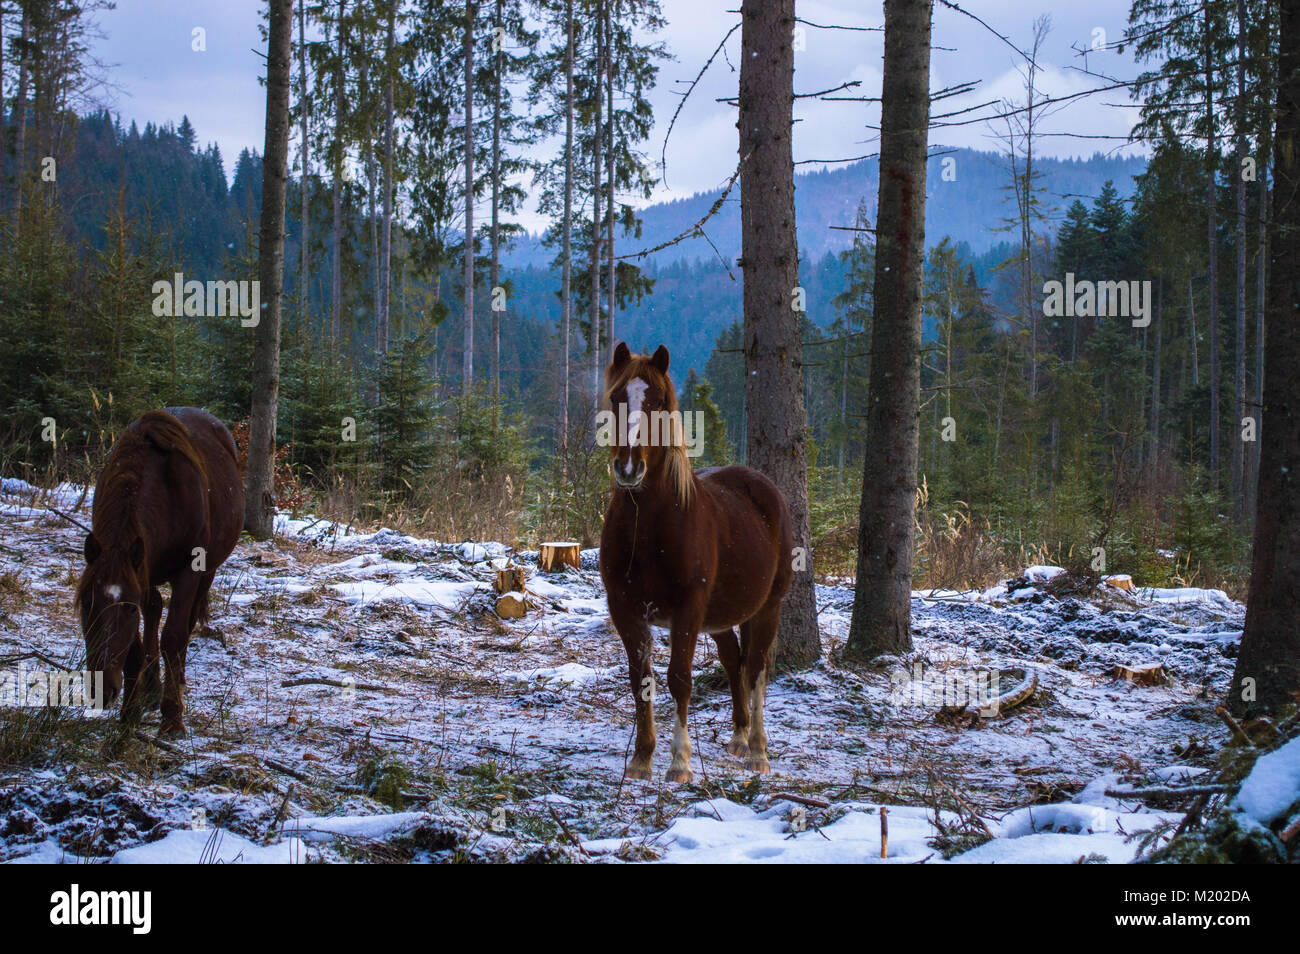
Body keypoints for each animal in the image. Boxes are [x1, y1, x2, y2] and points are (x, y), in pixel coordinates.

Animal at [76, 408, 245, 738]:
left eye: (128, 608)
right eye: (87, 604)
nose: (101, 690)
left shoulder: (188, 571)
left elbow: (174, 636)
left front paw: (172, 718)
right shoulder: (138, 570)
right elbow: (137, 645)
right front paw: (130, 713)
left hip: (206, 571)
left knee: (185, 622)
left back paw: (175, 682)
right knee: (154, 609)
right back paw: (152, 686)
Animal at [598, 343, 790, 785]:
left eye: (657, 402)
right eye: (617, 399)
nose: (629, 468)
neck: (649, 527)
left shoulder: (687, 609)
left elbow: (679, 679)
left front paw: (679, 762)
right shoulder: (624, 609)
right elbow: (641, 679)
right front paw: (642, 758)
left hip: (768, 607)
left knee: (755, 670)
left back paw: (758, 750)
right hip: (719, 618)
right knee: (734, 661)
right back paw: (738, 737)